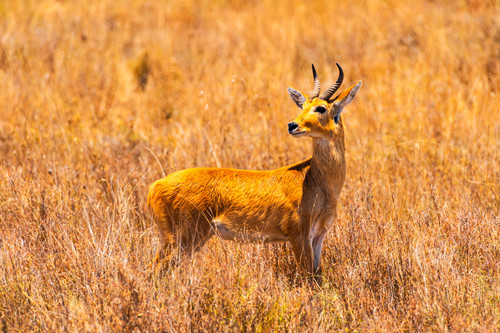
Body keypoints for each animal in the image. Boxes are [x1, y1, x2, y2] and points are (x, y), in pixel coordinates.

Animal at [146, 63, 362, 280]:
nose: (293, 125)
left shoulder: (318, 236)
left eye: (321, 108)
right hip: (179, 239)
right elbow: (307, 276)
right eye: (302, 106)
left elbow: (316, 274)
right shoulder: (299, 234)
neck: (314, 179)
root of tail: (155, 186)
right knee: (153, 270)